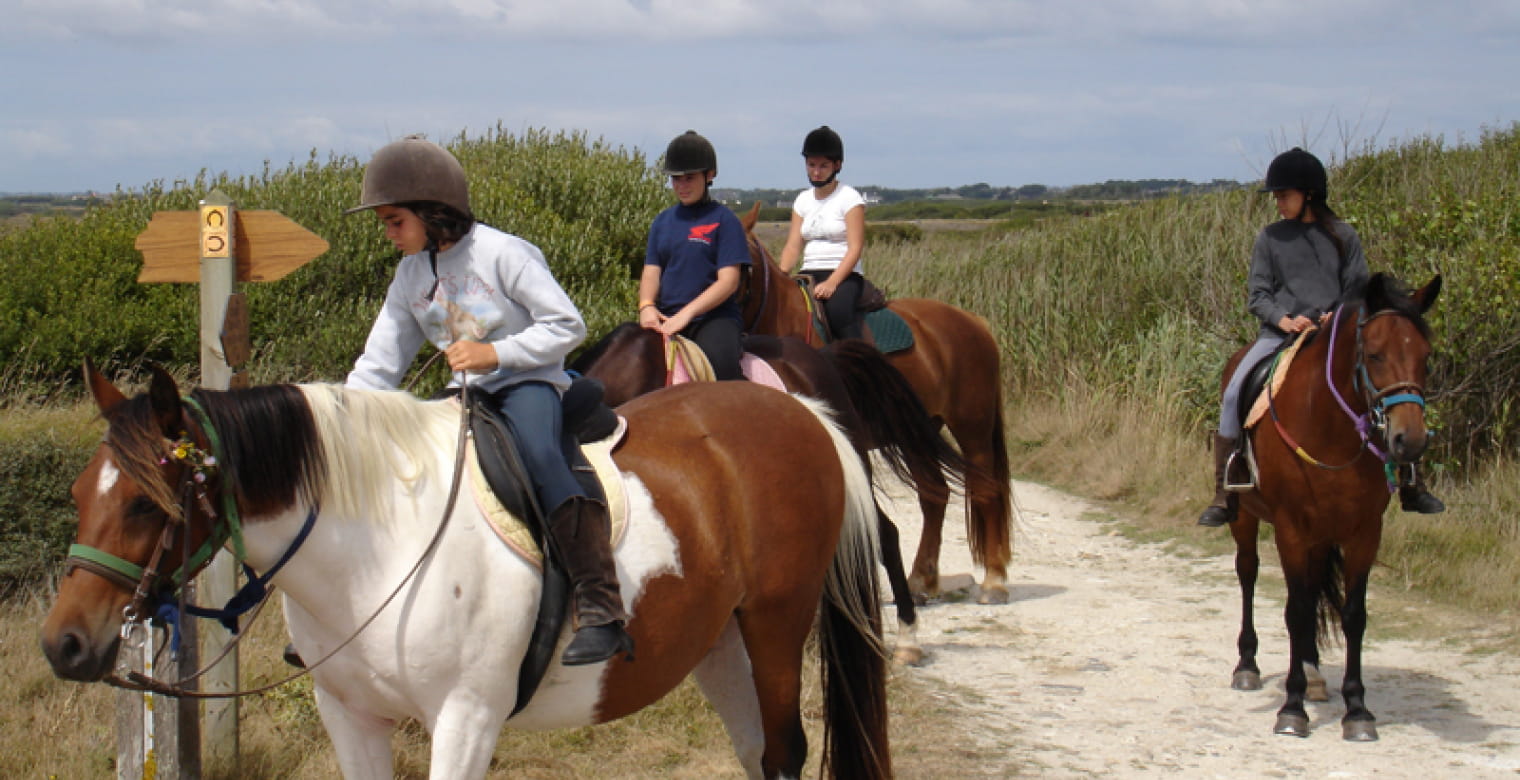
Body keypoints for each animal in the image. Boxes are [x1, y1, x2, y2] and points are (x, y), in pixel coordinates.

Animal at [38, 366, 887, 778]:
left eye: (145, 506)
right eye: (80, 495)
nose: (64, 644)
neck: (376, 550)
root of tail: (803, 412)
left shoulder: (466, 720)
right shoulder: (351, 716)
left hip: (776, 625)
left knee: (784, 753)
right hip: (720, 642)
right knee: (757, 756)